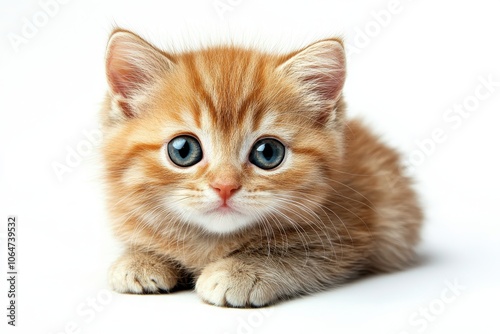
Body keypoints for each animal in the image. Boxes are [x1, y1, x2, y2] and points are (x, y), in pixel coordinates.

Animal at [101, 28, 422, 308]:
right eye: (183, 150)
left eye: (268, 153)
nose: (225, 186)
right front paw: (140, 258)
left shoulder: (353, 232)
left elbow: (301, 254)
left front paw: (241, 270)